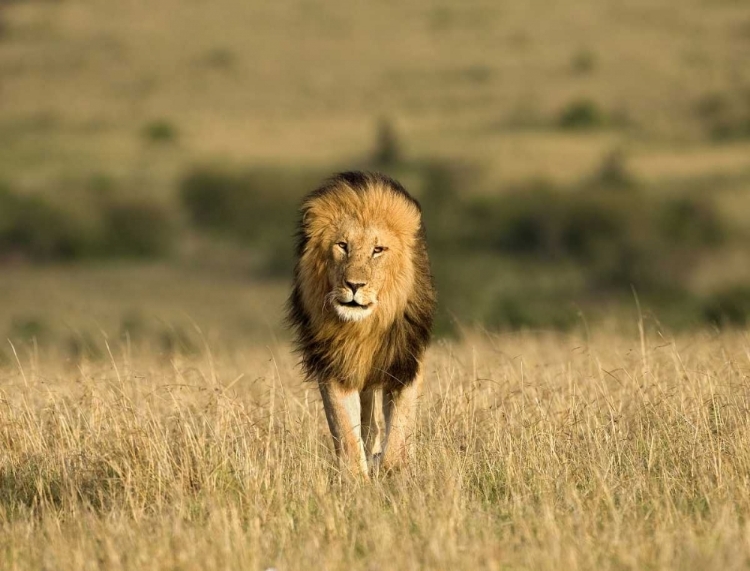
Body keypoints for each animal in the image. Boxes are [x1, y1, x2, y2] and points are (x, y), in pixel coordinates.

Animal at [290, 171, 440, 478]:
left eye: (377, 250)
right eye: (342, 246)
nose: (354, 285)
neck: (363, 328)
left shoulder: (405, 362)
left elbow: (400, 429)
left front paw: (391, 470)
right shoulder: (335, 365)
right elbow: (346, 431)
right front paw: (356, 479)